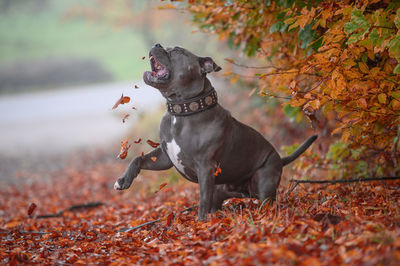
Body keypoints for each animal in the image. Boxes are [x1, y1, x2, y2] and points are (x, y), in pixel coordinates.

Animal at [114, 44, 318, 220]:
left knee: (266, 203)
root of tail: (280, 159)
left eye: (178, 51)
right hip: (221, 190)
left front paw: (200, 223)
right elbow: (137, 159)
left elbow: (202, 199)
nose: (157, 44)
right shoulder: (165, 157)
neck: (182, 112)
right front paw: (123, 180)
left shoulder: (205, 167)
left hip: (264, 181)